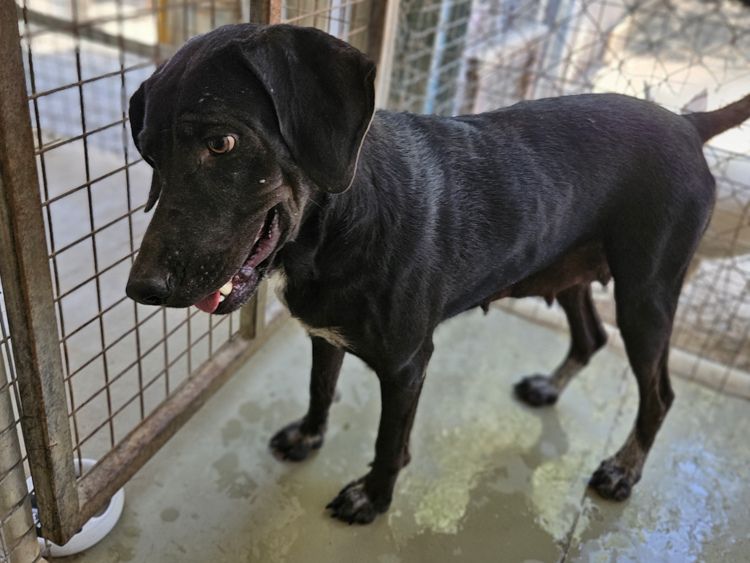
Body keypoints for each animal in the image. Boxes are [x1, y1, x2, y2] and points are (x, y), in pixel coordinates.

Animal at [126, 22, 750, 524]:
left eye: (222, 142)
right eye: (149, 156)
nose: (141, 290)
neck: (340, 226)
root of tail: (688, 123)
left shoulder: (408, 365)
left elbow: (388, 441)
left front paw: (373, 499)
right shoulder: (324, 335)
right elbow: (320, 389)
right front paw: (309, 435)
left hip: (646, 296)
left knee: (660, 394)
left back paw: (624, 469)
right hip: (571, 270)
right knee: (592, 337)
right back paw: (551, 386)